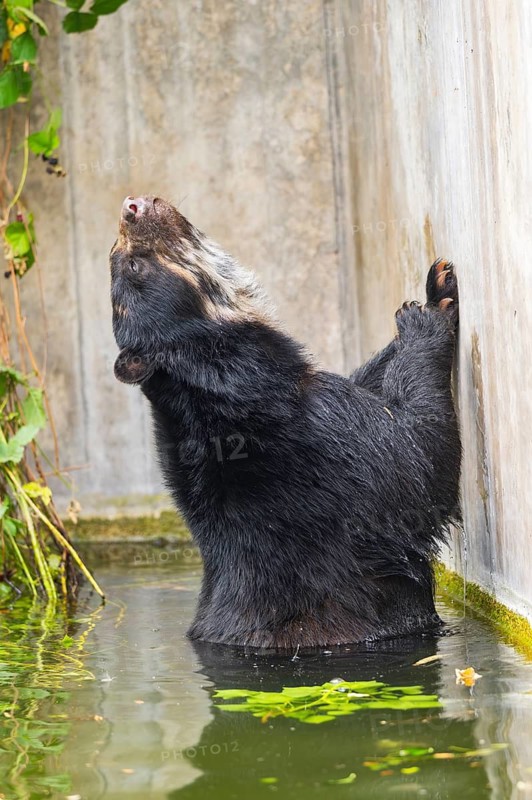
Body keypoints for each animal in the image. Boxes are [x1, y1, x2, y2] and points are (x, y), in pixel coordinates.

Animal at [110, 194, 461, 649]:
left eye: (118, 256)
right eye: (133, 265)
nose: (132, 204)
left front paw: (432, 287)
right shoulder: (321, 438)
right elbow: (416, 462)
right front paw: (430, 309)